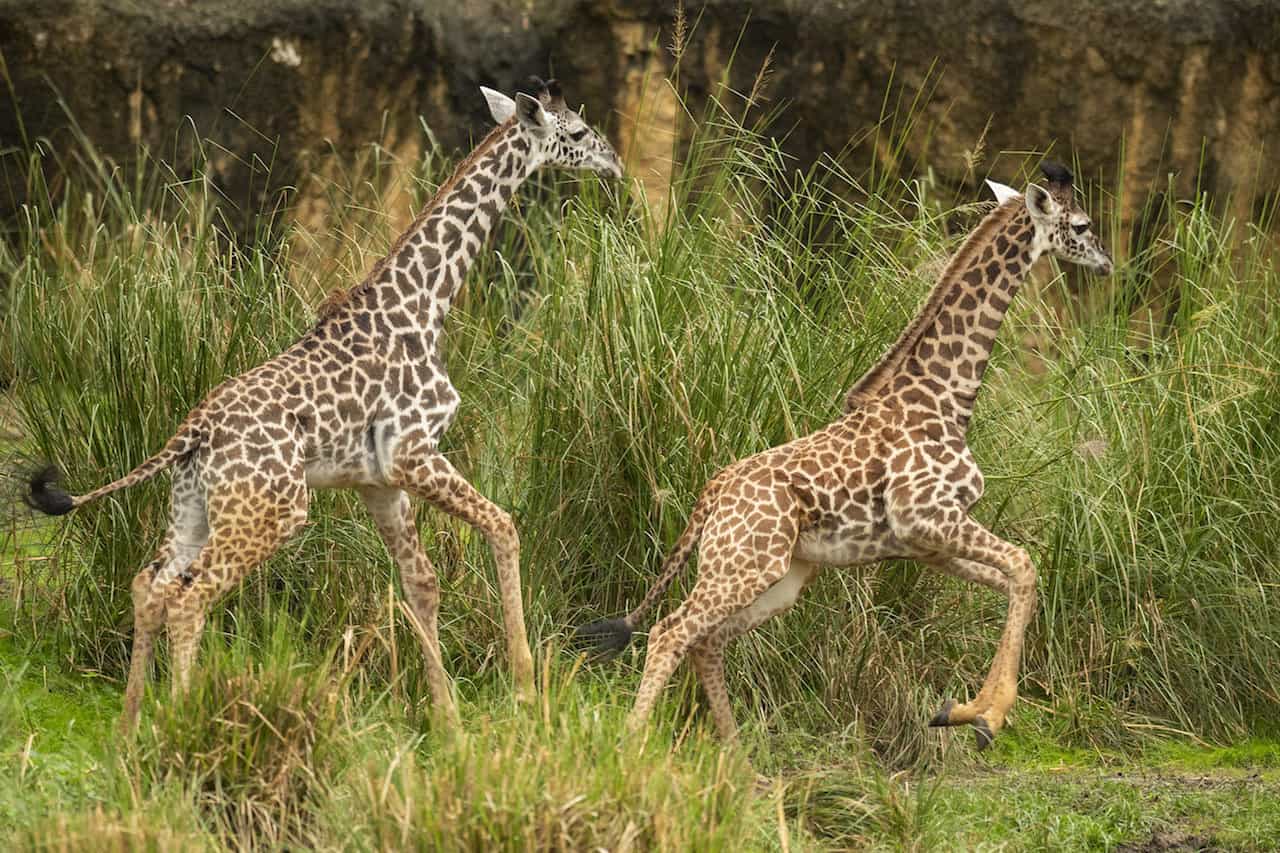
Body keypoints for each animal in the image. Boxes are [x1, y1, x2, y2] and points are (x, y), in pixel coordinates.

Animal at [27, 78, 622, 732]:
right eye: (576, 132)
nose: (615, 162)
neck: (427, 301)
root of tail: (192, 433)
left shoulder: (377, 480)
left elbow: (422, 583)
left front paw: (448, 720)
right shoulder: (415, 451)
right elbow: (504, 526)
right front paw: (522, 686)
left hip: (196, 508)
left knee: (148, 586)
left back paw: (132, 728)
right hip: (275, 510)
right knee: (187, 599)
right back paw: (184, 724)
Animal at [578, 162, 1112, 750]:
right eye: (1082, 225)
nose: (1107, 262)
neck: (947, 397)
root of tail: (711, 493)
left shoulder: (924, 543)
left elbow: (1017, 581)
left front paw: (960, 711)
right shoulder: (930, 517)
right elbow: (1025, 566)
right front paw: (987, 718)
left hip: (781, 576)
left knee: (707, 641)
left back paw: (738, 757)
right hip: (743, 566)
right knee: (670, 631)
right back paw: (634, 745)